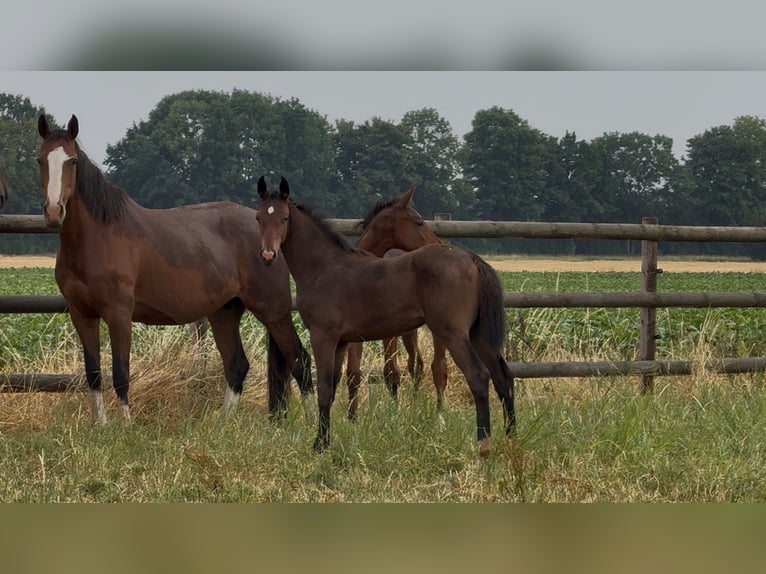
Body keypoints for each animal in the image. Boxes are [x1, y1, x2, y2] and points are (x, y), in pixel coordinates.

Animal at [37, 114, 312, 424]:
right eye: (40, 160)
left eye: (71, 161)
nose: (54, 211)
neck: (97, 238)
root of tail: (271, 239)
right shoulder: (81, 314)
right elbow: (94, 374)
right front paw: (101, 425)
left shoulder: (119, 314)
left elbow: (120, 374)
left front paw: (125, 426)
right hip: (225, 312)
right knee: (237, 365)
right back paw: (221, 423)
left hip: (273, 310)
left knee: (300, 360)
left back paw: (313, 422)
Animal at [344, 186, 448, 420]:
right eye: (419, 222)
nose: (440, 245)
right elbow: (353, 373)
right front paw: (352, 418)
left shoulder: (388, 332)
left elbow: (391, 372)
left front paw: (395, 414)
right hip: (410, 331)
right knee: (416, 365)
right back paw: (417, 404)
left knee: (438, 368)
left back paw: (439, 415)